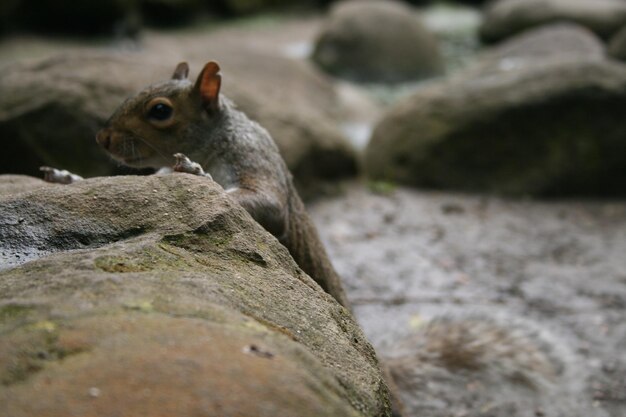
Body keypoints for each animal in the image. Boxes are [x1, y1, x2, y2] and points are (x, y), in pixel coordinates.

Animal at [77, 61, 346, 308]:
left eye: (160, 110)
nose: (102, 138)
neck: (212, 144)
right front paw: (71, 178)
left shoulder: (252, 154)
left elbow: (271, 206)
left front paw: (197, 172)